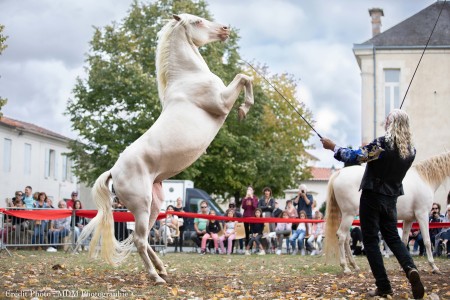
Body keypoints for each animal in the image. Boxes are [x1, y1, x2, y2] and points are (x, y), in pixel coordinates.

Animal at [77, 14, 253, 284]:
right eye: (198, 21)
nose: (225, 29)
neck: (188, 78)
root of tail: (113, 171)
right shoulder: (221, 102)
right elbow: (243, 76)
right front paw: (245, 108)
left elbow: (246, 77)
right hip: (141, 205)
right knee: (139, 239)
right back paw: (155, 277)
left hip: (155, 205)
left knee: (143, 237)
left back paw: (162, 269)